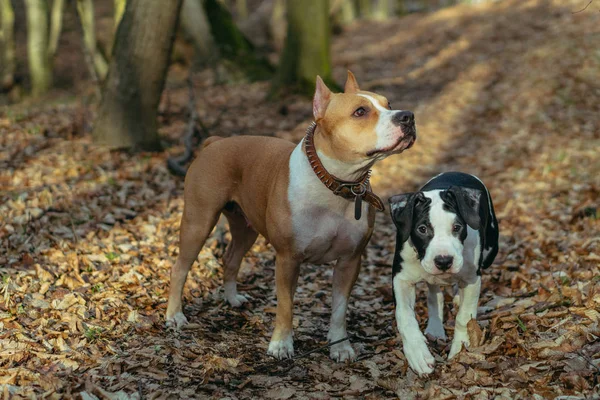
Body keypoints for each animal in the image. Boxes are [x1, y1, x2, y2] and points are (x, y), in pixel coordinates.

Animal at [165, 72, 418, 362]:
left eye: (389, 104)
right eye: (360, 112)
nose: (407, 116)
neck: (335, 184)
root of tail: (214, 141)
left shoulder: (350, 260)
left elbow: (340, 308)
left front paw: (340, 346)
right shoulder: (287, 259)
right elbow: (285, 305)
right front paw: (281, 345)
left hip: (246, 227)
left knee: (231, 258)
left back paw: (232, 299)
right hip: (198, 221)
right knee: (180, 267)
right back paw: (174, 315)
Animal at [390, 172, 496, 376]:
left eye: (457, 227)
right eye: (422, 229)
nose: (444, 261)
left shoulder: (472, 279)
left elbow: (464, 316)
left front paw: (461, 347)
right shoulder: (401, 279)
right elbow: (404, 316)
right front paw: (417, 353)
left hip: (490, 253)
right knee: (434, 292)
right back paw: (435, 327)